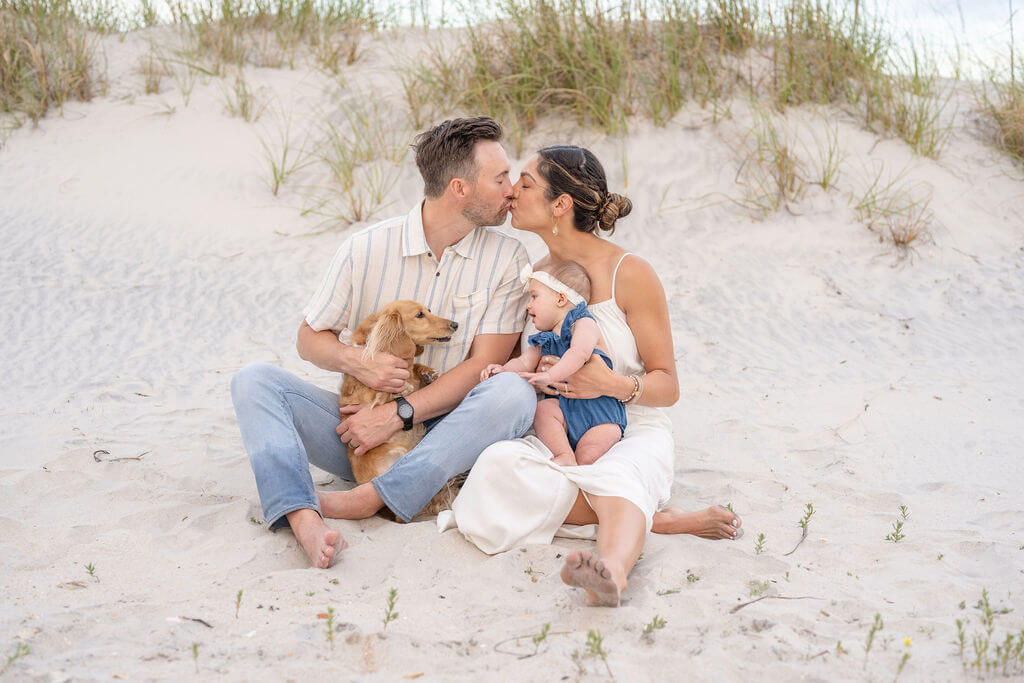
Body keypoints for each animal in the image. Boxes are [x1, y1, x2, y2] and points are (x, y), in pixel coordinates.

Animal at [339, 301, 460, 520]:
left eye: (429, 310)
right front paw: (401, 388)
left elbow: (415, 370)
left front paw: (427, 373)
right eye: (419, 315)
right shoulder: (369, 395)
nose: (455, 324)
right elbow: (385, 392)